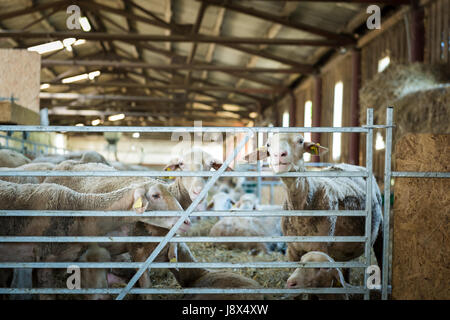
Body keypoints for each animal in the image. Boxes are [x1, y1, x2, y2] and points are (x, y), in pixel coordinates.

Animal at [244, 132, 384, 276]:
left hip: (380, 229)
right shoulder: (292, 251)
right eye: (268, 144)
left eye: (300, 141)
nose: (279, 154)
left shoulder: (320, 248)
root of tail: (352, 165)